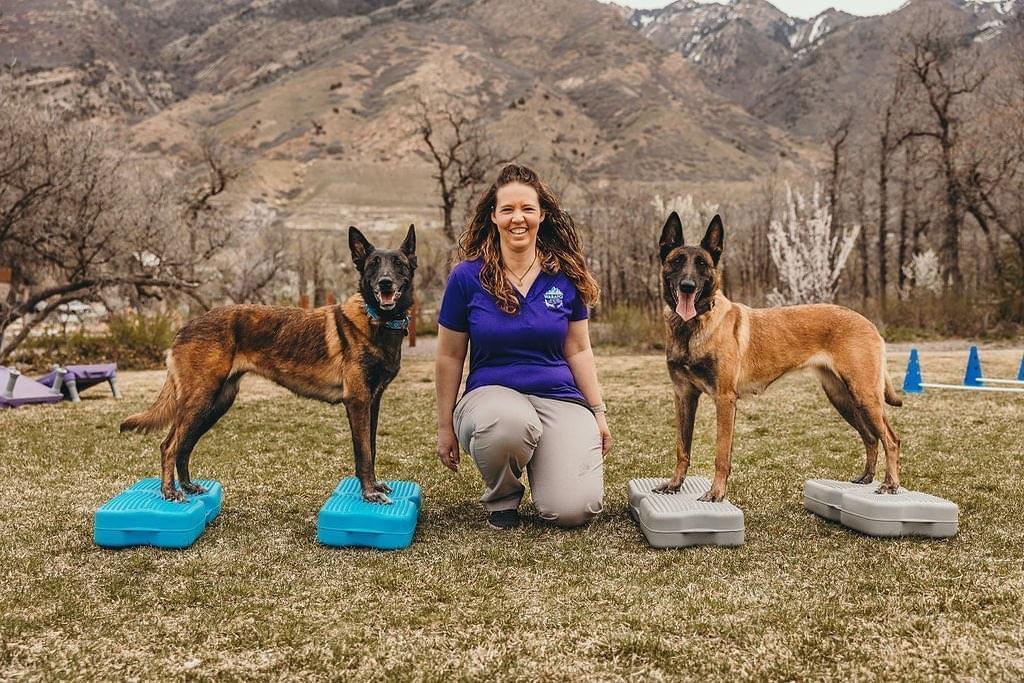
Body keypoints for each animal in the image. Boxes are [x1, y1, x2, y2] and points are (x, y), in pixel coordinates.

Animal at [122, 224, 415, 501]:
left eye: (399, 264)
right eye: (373, 264)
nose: (385, 283)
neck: (377, 320)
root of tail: (184, 328)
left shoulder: (372, 401)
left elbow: (372, 447)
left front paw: (374, 486)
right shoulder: (357, 401)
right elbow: (363, 452)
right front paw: (369, 493)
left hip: (215, 404)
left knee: (184, 445)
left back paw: (188, 486)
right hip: (200, 399)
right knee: (169, 445)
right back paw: (169, 491)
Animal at [655, 211, 897, 501]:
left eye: (702, 264)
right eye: (677, 261)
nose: (688, 286)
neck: (692, 327)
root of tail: (868, 323)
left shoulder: (724, 399)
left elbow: (721, 454)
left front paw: (716, 493)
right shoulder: (683, 396)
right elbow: (682, 447)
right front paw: (674, 484)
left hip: (864, 395)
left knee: (891, 439)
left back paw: (890, 484)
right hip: (843, 398)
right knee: (871, 437)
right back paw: (867, 477)